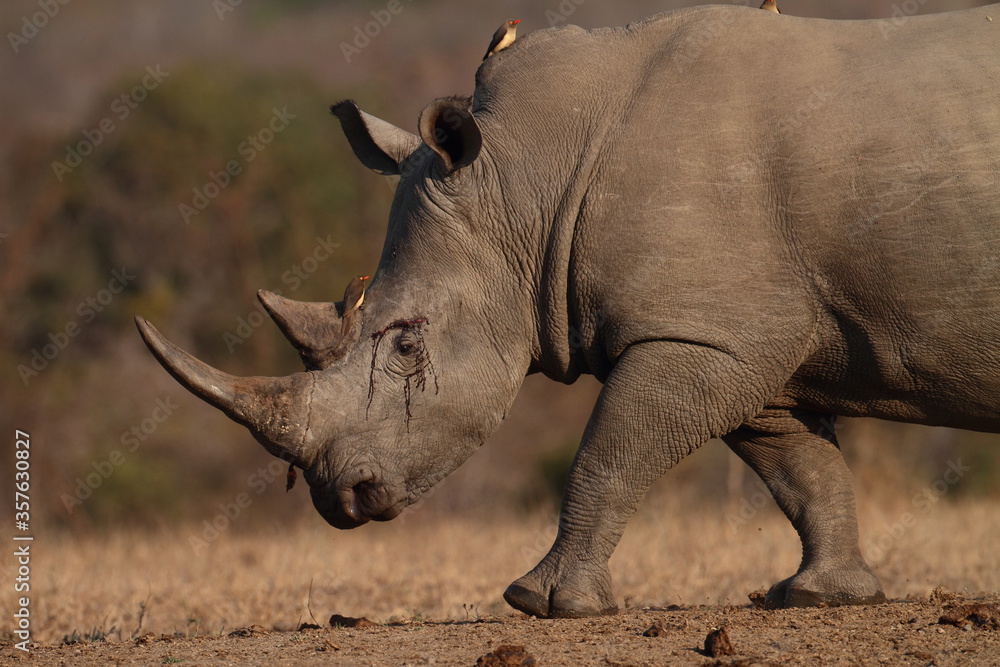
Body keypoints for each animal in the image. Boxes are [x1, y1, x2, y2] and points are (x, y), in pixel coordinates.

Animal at [136, 4, 1000, 617]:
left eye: (407, 346)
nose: (341, 498)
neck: (529, 177)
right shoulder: (736, 333)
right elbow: (799, 465)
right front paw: (821, 595)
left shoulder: (697, 336)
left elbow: (610, 451)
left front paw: (542, 603)